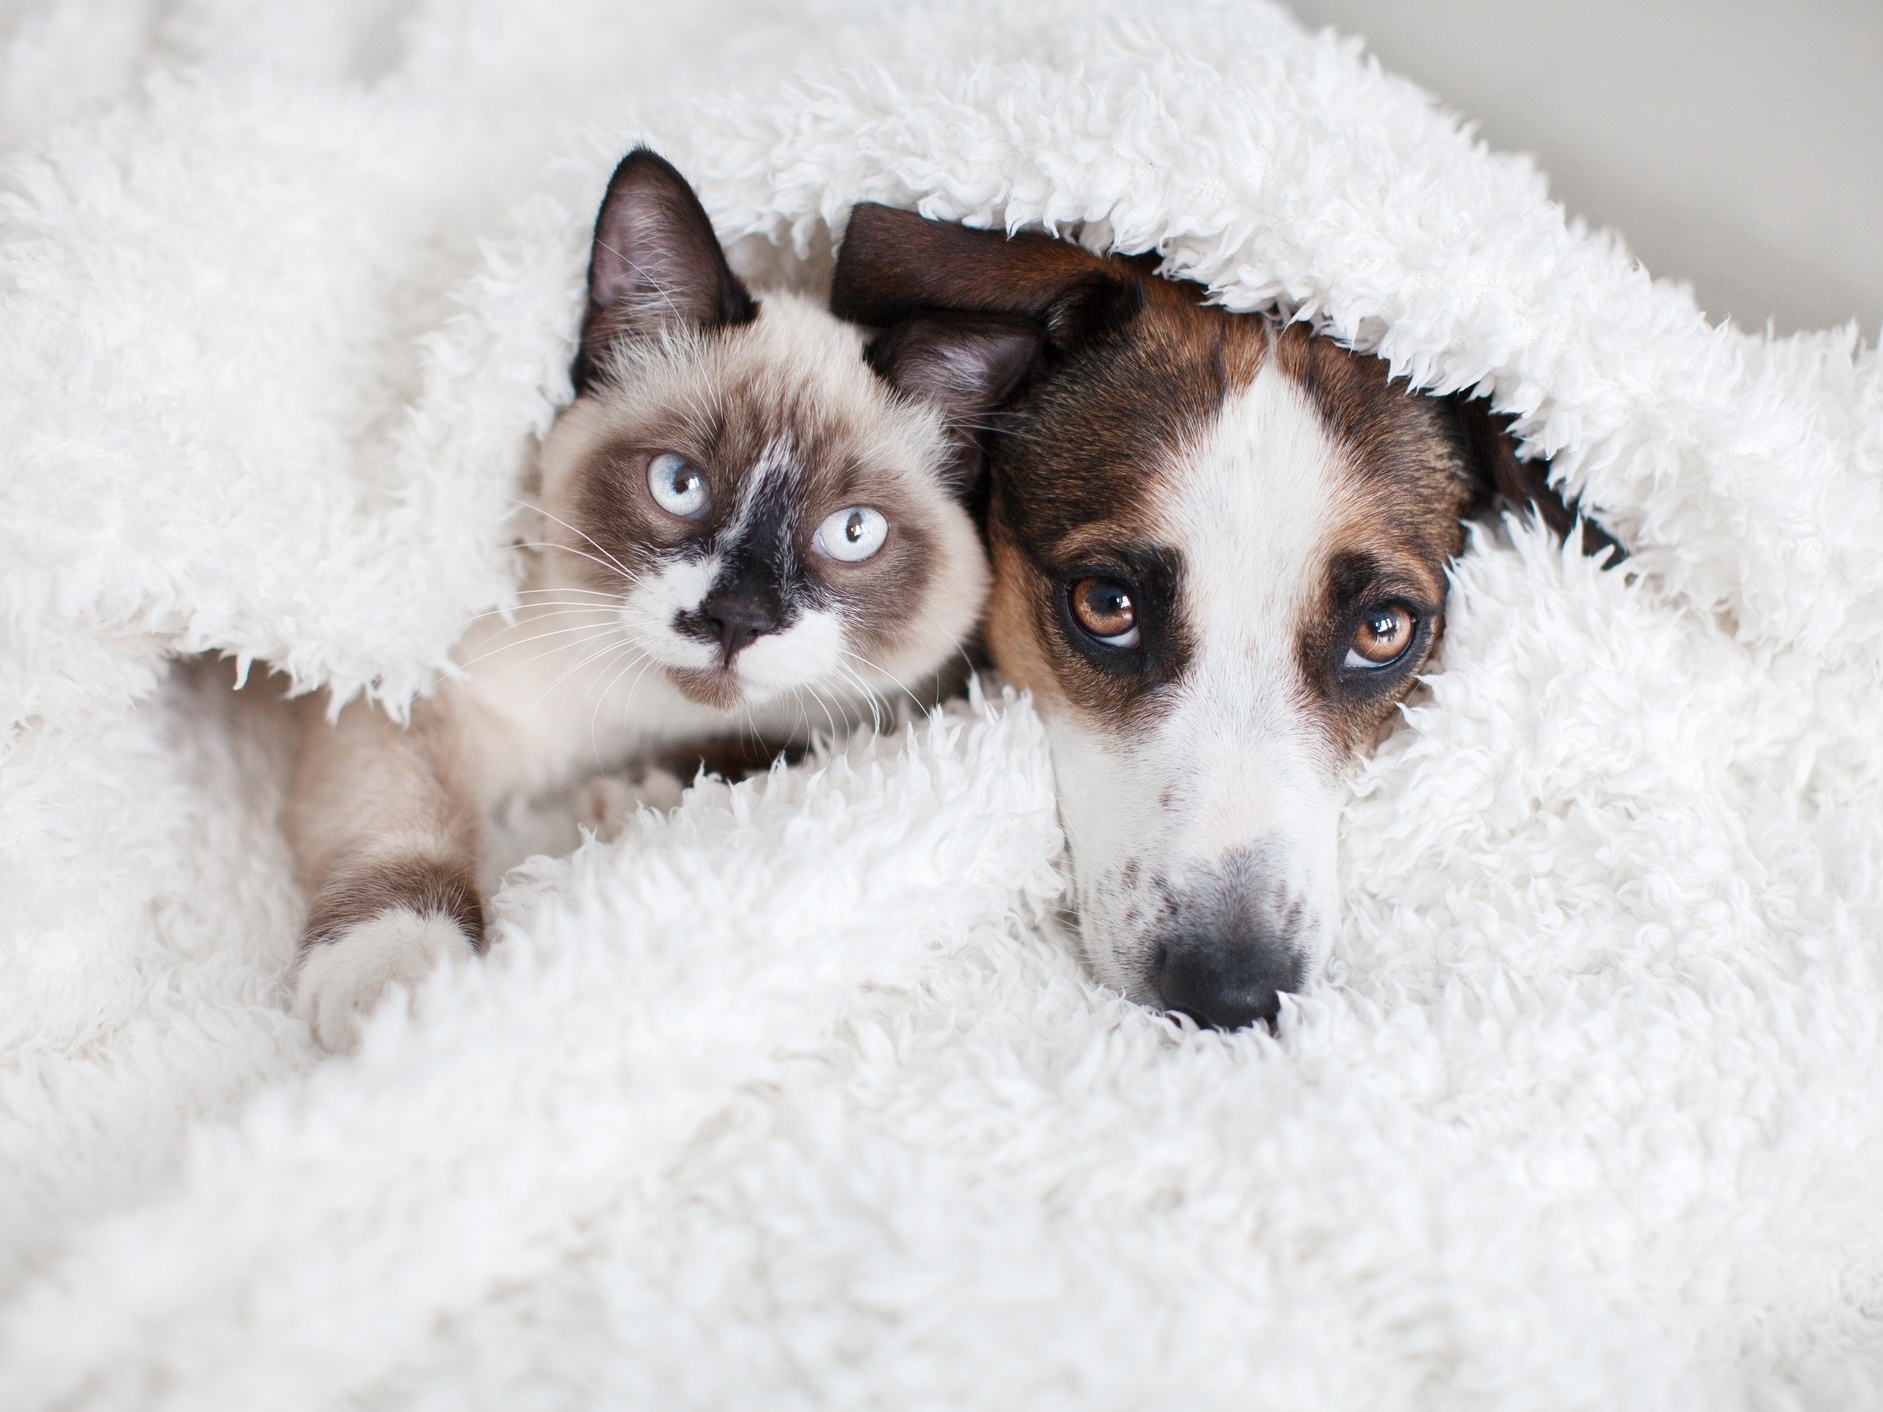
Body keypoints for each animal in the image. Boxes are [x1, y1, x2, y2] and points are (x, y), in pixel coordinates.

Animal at [286, 152, 1039, 1054]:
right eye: (679, 484)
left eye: (853, 532)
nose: (736, 620)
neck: (638, 717)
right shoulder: (407, 695)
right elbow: (400, 821)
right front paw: (398, 992)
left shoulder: (862, 717)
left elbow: (763, 751)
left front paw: (628, 799)